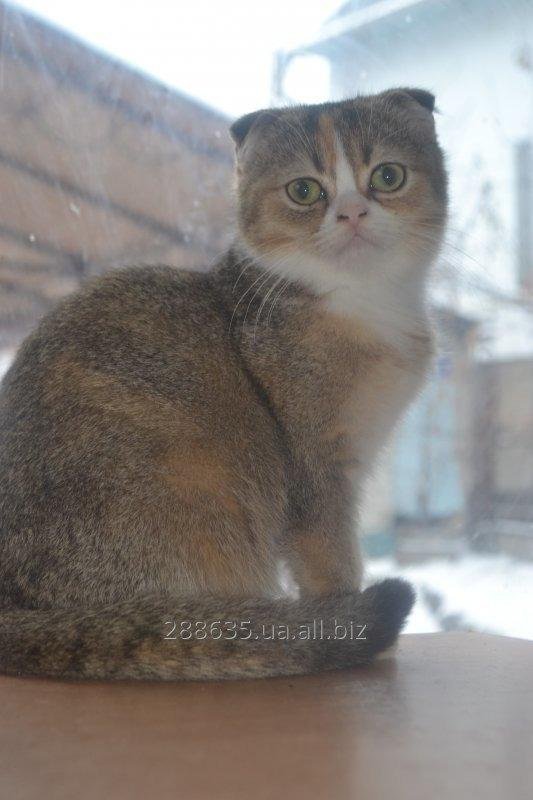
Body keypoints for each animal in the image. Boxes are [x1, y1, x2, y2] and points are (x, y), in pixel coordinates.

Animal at [0, 87, 444, 680]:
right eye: (304, 190)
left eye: (389, 176)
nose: (352, 212)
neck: (361, 304)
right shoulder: (316, 473)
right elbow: (330, 558)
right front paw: (350, 619)